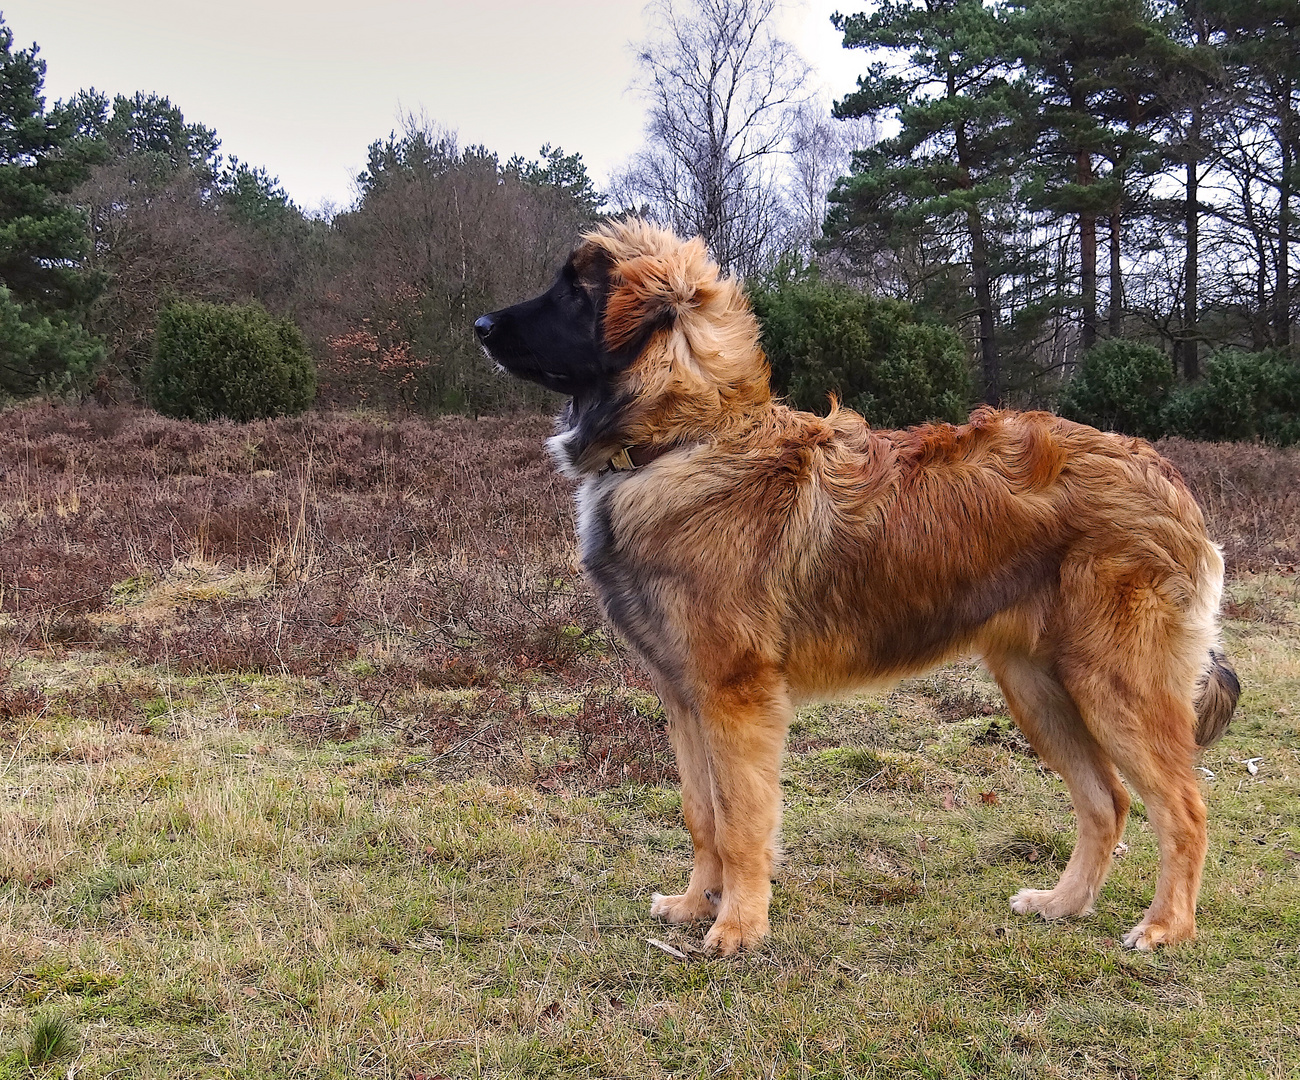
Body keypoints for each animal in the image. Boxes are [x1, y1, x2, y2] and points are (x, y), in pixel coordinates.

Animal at [475, 217, 1237, 956]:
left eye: (576, 294)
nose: (480, 325)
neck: (685, 439)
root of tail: (1165, 476)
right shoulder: (684, 694)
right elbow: (702, 814)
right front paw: (695, 906)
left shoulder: (734, 696)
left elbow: (740, 820)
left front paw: (738, 926)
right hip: (1039, 687)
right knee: (1106, 800)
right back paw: (1062, 903)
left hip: (1116, 685)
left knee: (1184, 808)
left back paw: (1166, 927)